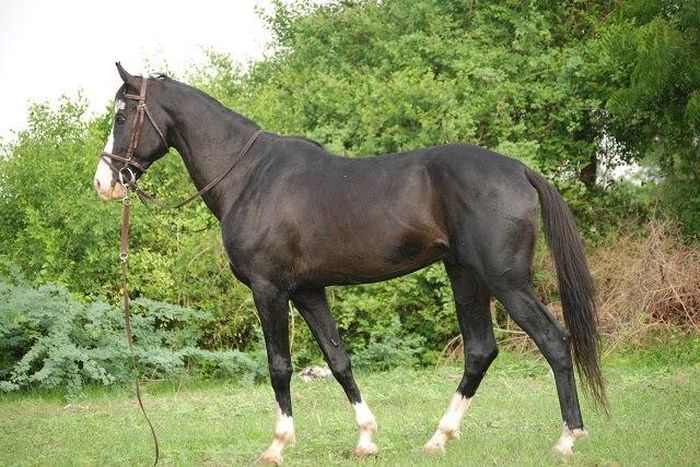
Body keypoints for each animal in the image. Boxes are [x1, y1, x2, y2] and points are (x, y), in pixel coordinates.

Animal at [93, 63, 606, 464]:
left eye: (121, 114)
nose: (104, 182)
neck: (250, 176)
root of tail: (519, 170)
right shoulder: (307, 291)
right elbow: (339, 360)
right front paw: (366, 439)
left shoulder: (268, 289)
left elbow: (279, 365)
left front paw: (277, 445)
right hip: (466, 275)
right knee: (480, 350)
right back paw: (438, 439)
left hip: (506, 281)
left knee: (554, 342)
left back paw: (568, 439)